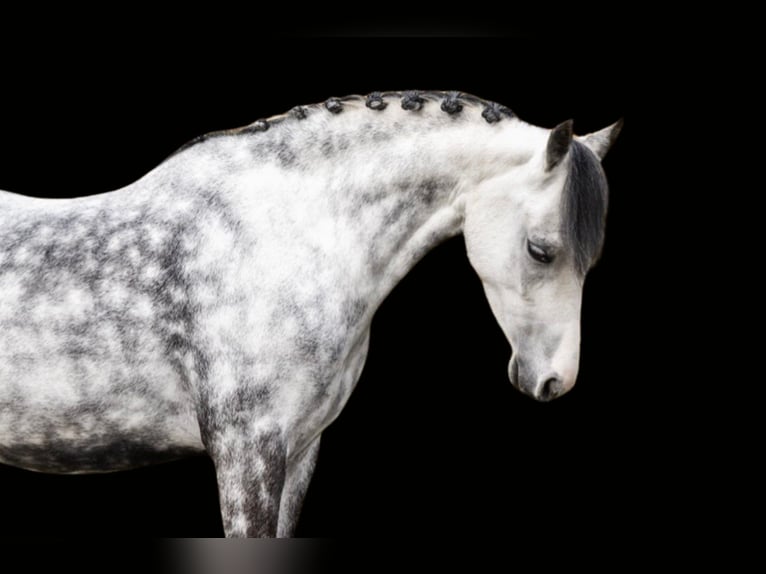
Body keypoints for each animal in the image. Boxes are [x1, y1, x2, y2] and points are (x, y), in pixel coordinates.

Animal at [0, 91, 621, 537]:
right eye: (540, 250)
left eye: (593, 257)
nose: (555, 381)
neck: (284, 237)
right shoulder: (246, 456)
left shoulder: (300, 453)